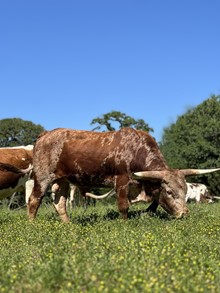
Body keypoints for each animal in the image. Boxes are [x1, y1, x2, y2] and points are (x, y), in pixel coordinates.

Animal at [26, 128, 220, 221]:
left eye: (186, 191)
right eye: (170, 192)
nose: (184, 214)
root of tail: (45, 135)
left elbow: (155, 202)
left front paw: (146, 213)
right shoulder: (121, 181)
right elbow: (123, 206)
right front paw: (124, 223)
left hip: (63, 180)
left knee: (60, 204)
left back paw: (69, 225)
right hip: (43, 177)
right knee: (34, 200)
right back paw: (32, 224)